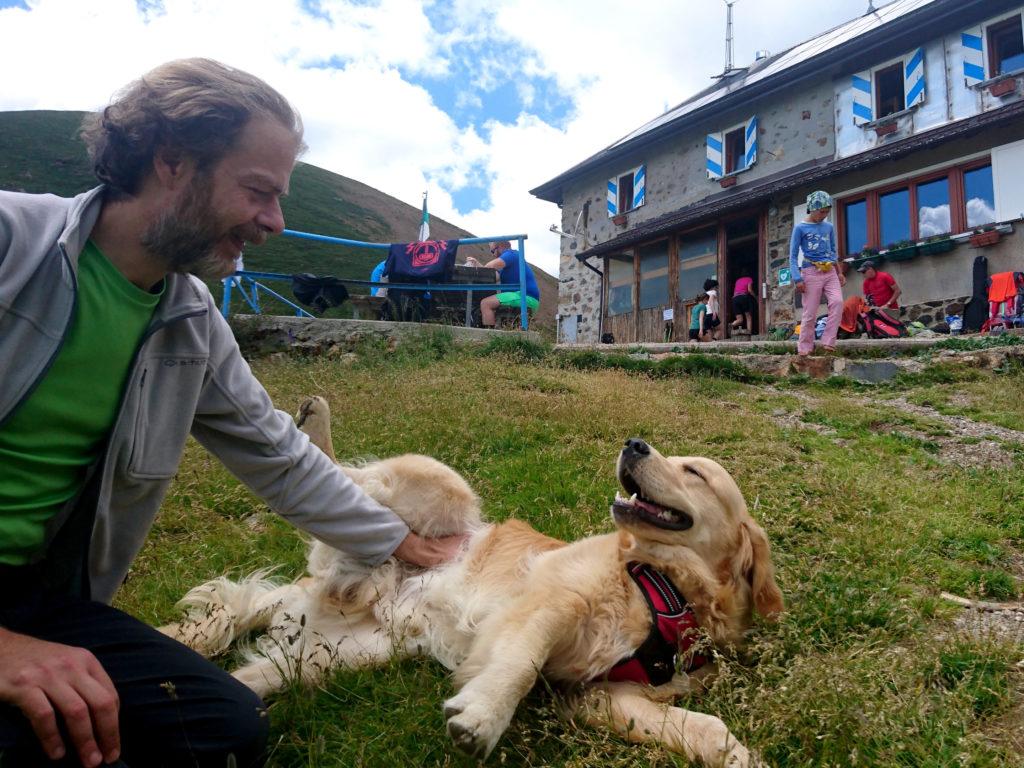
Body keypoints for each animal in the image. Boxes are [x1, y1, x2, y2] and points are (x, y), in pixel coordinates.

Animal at [163, 399, 778, 765]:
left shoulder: (604, 695)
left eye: (694, 472)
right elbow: (520, 664)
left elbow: (709, 728)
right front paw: (482, 716)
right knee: (341, 477)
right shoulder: (552, 601)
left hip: (323, 658)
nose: (634, 443)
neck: (666, 589)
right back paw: (311, 416)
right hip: (441, 487)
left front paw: (744, 759)